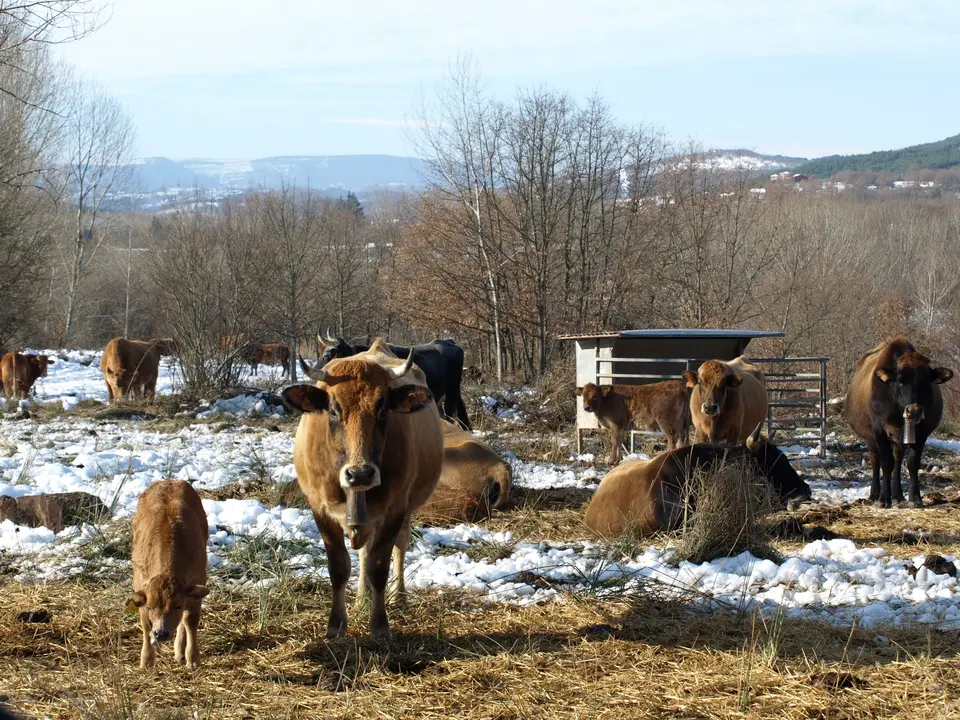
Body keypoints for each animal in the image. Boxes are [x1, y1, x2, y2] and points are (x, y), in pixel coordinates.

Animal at [129, 480, 209, 669]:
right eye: (150, 606)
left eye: (177, 605)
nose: (161, 633)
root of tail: (169, 481)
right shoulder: (140, 586)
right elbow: (145, 625)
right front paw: (147, 659)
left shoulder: (197, 583)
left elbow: (190, 621)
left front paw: (192, 658)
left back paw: (179, 650)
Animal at [283, 340, 443, 639]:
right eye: (334, 410)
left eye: (382, 409)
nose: (360, 473)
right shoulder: (319, 509)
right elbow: (339, 567)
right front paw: (336, 624)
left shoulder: (395, 509)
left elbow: (379, 567)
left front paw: (379, 625)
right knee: (363, 553)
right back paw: (360, 600)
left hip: (405, 511)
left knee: (398, 547)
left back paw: (398, 596)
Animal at [844, 336, 953, 508]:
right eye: (901, 381)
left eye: (926, 381)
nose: (914, 411)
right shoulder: (879, 429)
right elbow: (886, 462)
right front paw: (883, 499)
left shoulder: (922, 432)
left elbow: (912, 462)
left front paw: (915, 498)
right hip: (871, 437)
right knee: (876, 459)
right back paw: (875, 493)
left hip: (897, 439)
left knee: (897, 459)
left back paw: (897, 494)